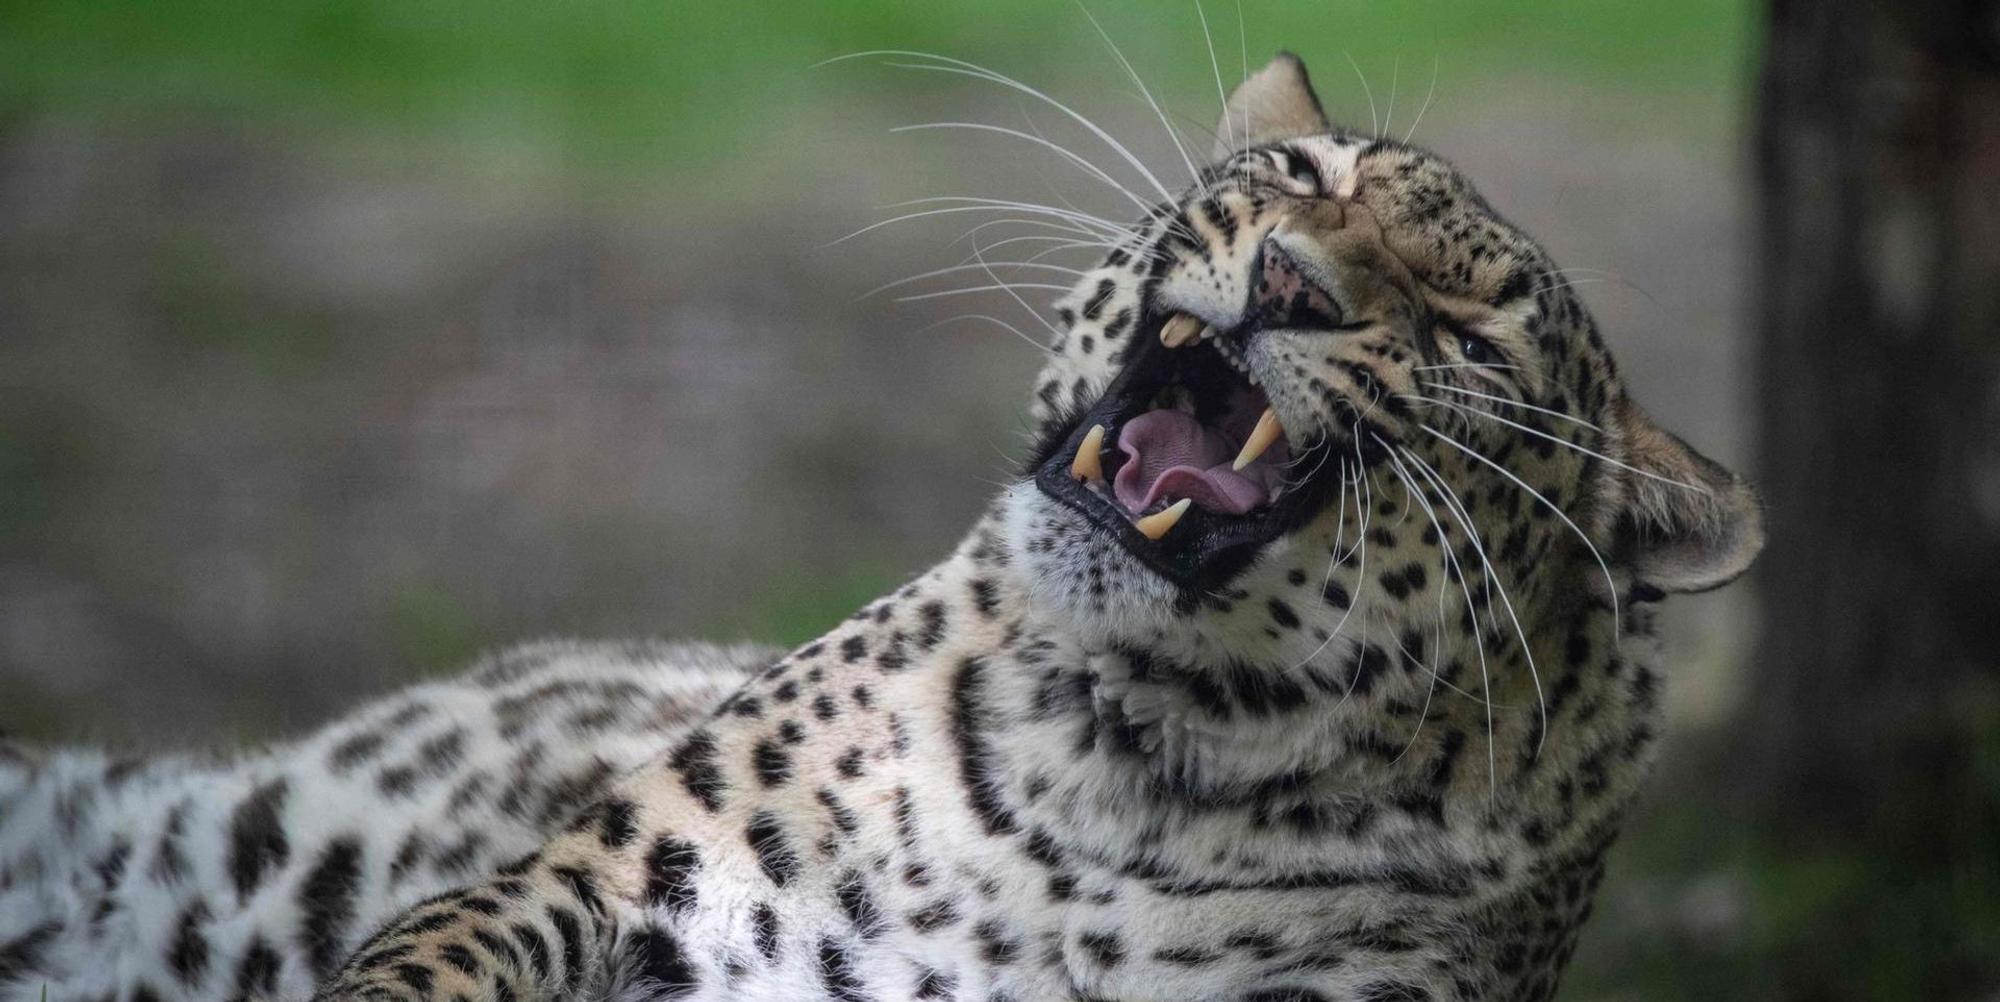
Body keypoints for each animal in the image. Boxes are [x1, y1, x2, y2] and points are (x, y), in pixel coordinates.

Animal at [2, 53, 1762, 1002]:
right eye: (1302, 173)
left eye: (1470, 339)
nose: (1288, 277)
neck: (1116, 770)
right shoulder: (613, 874)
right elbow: (419, 958)